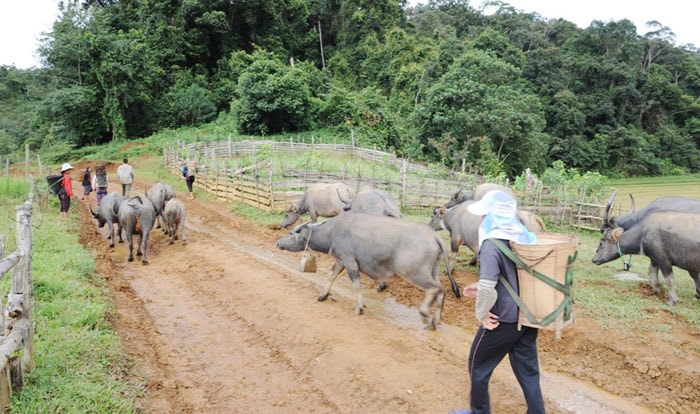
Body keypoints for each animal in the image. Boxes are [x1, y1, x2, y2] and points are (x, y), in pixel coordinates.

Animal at [276, 212, 462, 332]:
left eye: (291, 232)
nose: (278, 243)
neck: (331, 231)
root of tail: (434, 237)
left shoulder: (349, 262)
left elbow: (356, 285)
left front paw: (359, 307)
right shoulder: (340, 261)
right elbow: (331, 276)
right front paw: (323, 295)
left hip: (413, 273)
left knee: (435, 289)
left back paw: (424, 313)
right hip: (433, 271)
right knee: (441, 291)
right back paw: (435, 321)